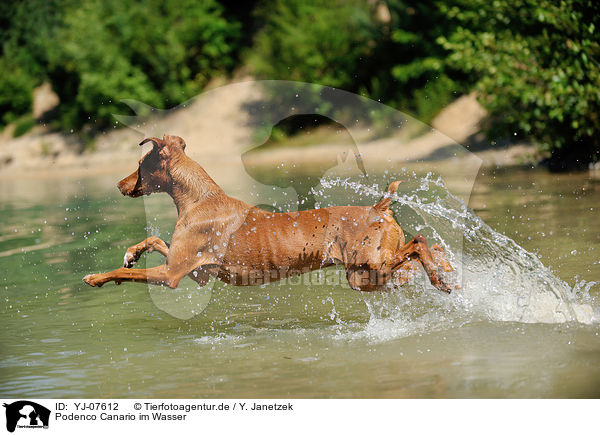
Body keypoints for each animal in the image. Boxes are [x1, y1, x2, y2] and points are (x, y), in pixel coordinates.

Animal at [82, 136, 452, 292]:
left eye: (140, 164)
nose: (119, 184)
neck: (199, 199)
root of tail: (378, 208)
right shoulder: (193, 270)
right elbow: (154, 239)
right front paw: (131, 254)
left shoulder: (172, 274)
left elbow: (125, 271)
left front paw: (98, 277)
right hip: (366, 276)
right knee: (419, 251)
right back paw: (444, 272)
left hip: (368, 267)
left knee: (418, 243)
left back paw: (438, 276)